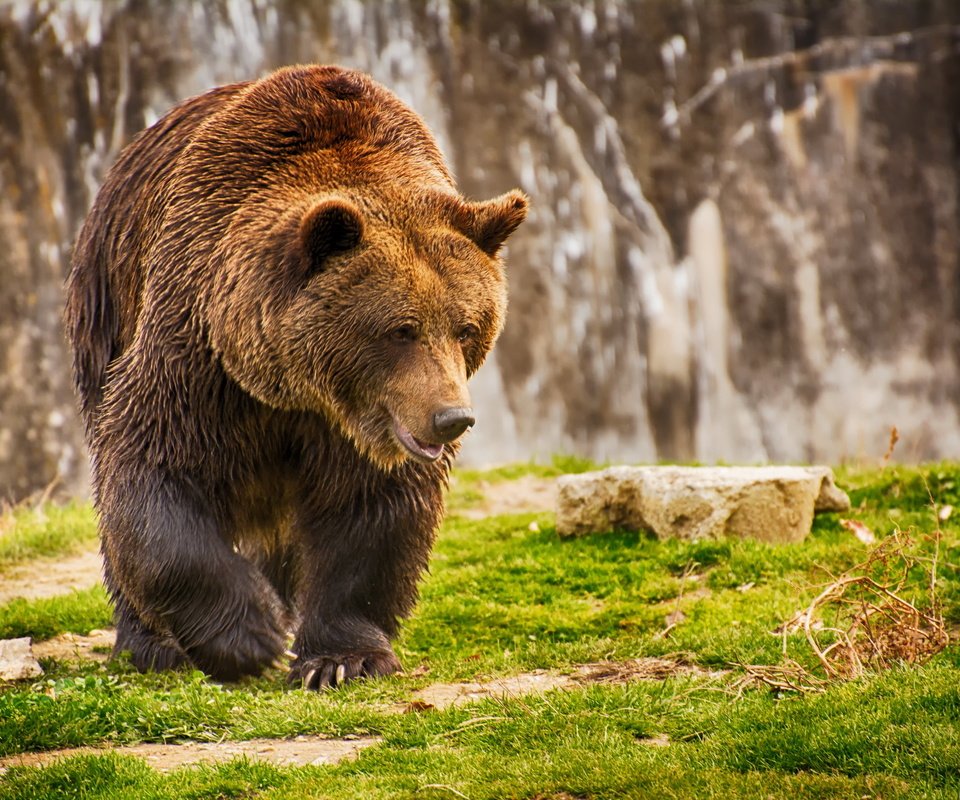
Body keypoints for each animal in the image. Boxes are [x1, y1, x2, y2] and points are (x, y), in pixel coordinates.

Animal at [63, 64, 528, 688]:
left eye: (466, 327)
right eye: (401, 329)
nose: (451, 418)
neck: (293, 389)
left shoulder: (362, 427)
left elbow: (371, 511)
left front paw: (340, 659)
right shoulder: (197, 353)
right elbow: (152, 470)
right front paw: (248, 636)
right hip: (107, 300)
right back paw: (152, 643)